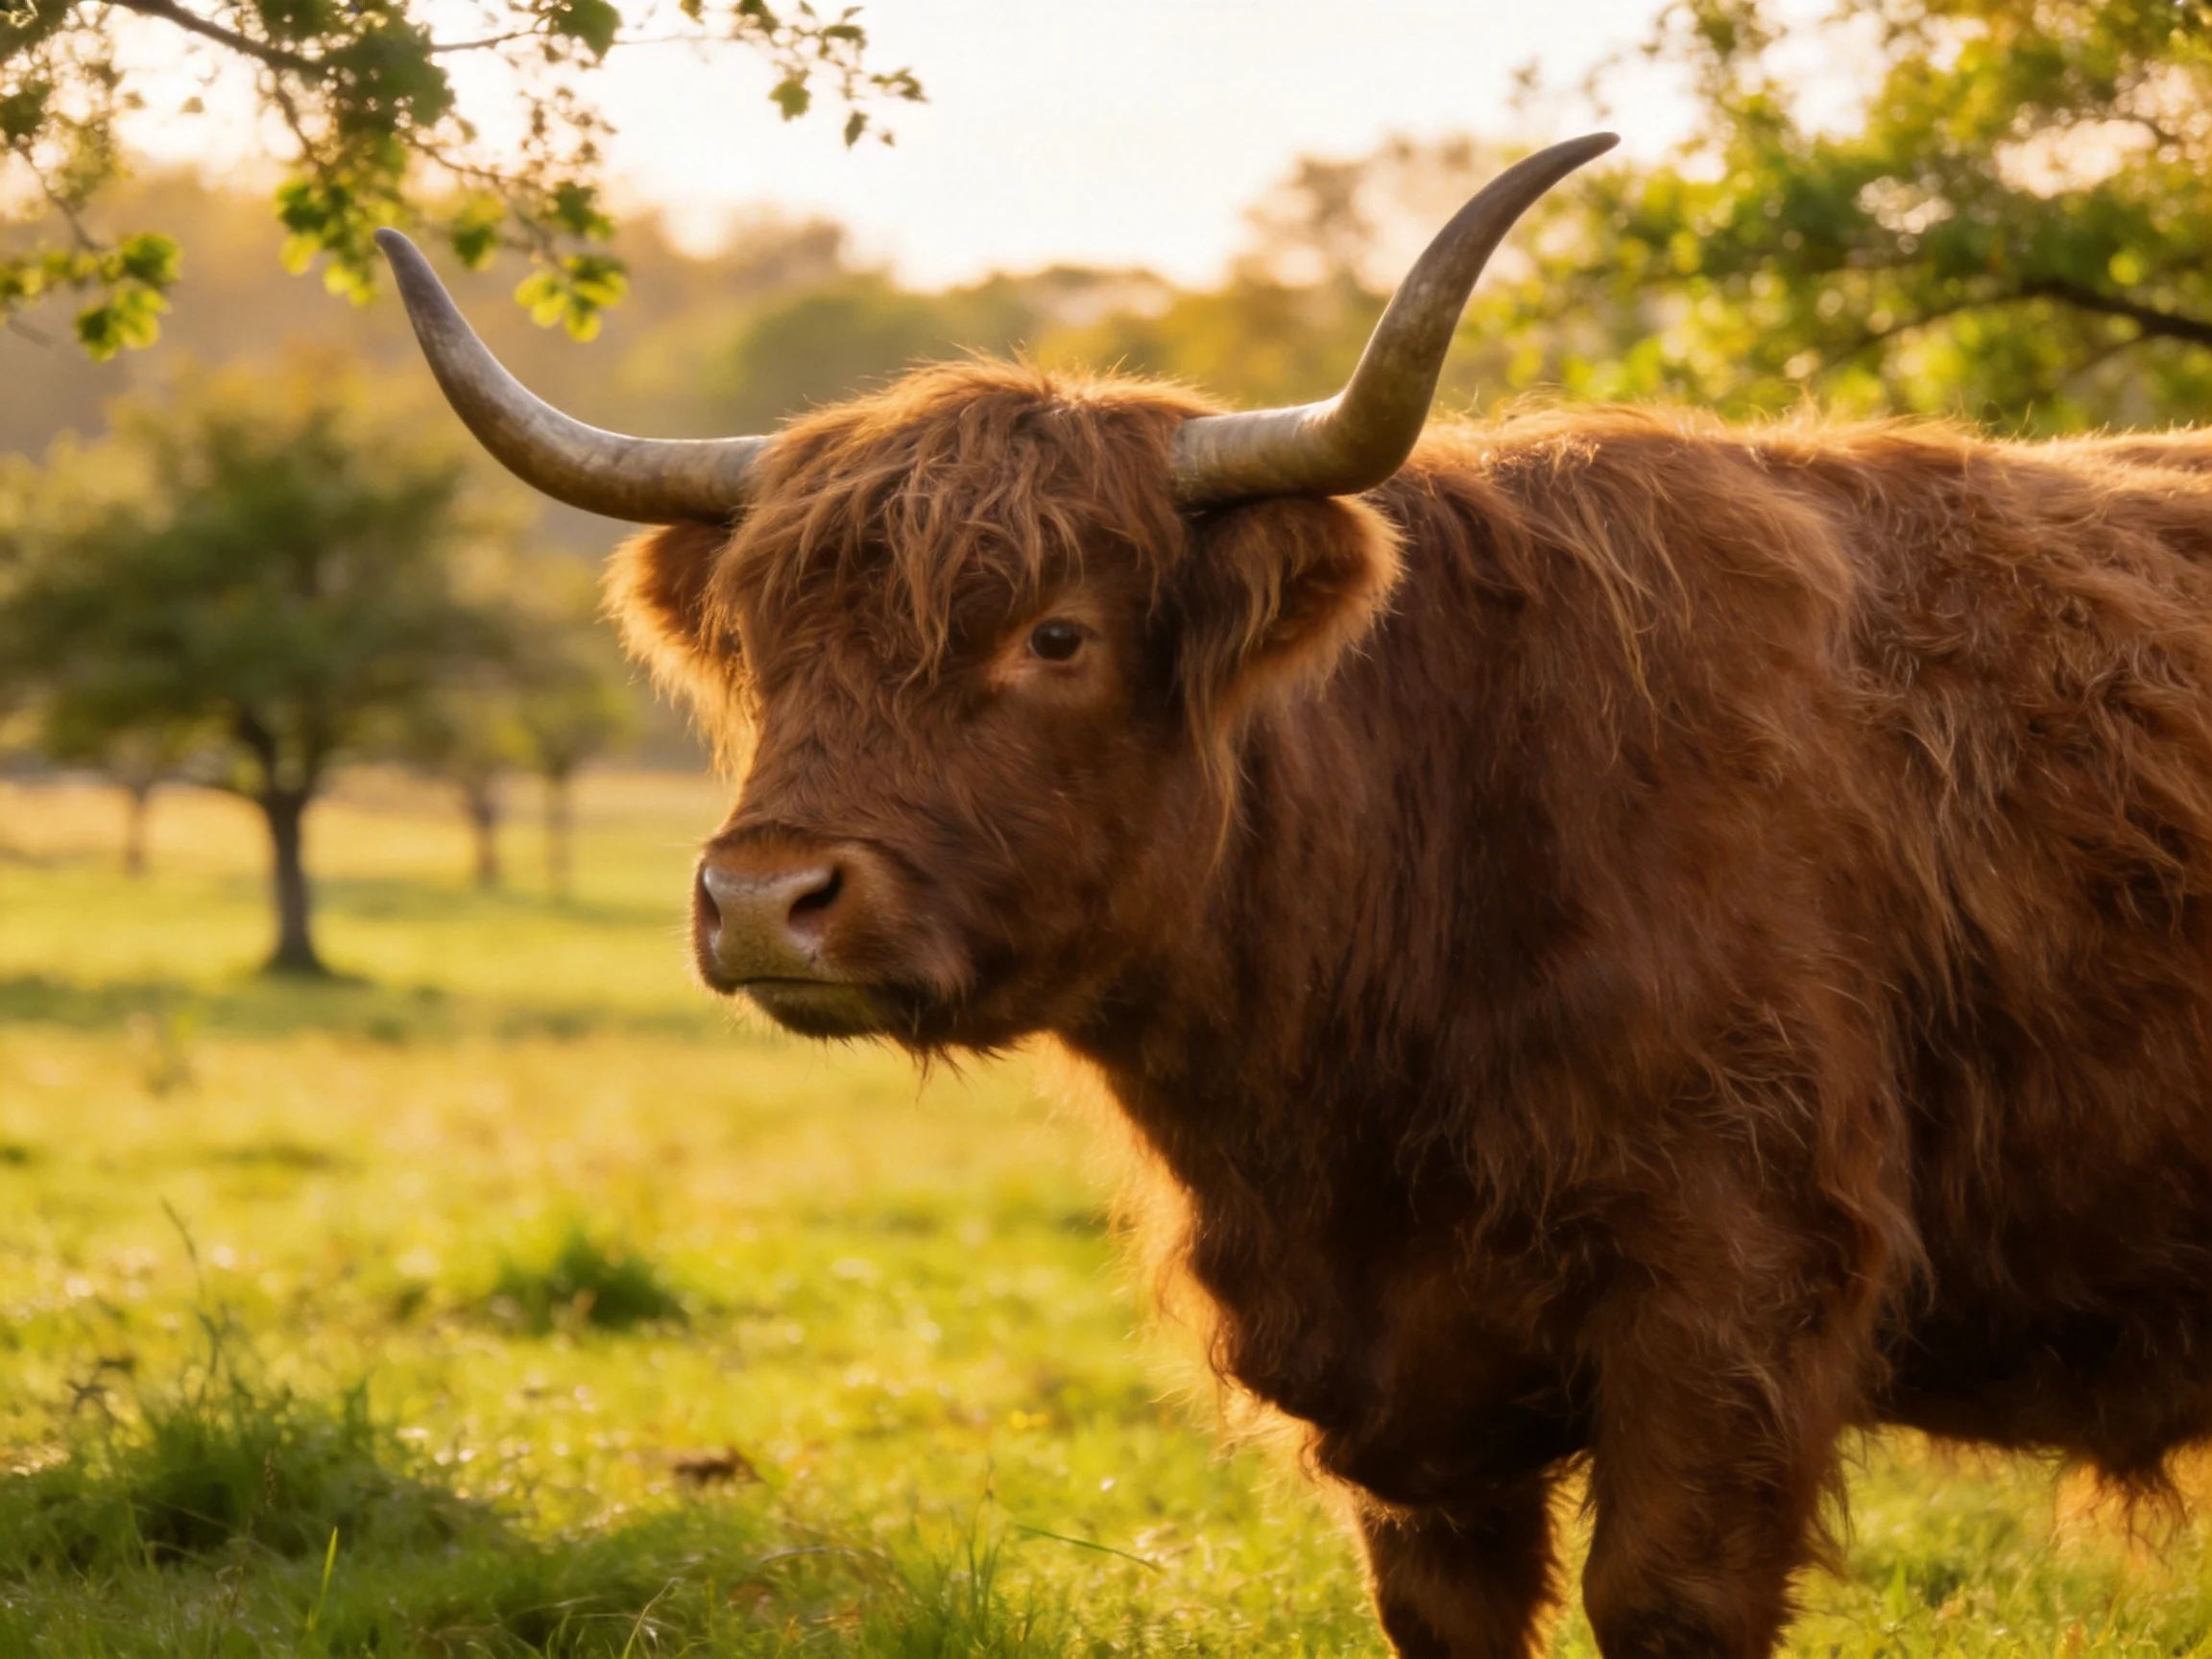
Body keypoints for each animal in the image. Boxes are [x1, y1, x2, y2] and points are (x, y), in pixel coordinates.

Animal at [375, 134, 2212, 1658]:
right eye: (761, 648)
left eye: (1057, 633)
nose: (765, 898)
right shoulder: (1412, 1416)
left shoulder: (1737, 1295)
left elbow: (1660, 1597)